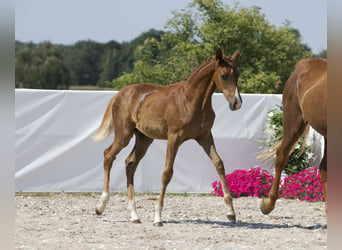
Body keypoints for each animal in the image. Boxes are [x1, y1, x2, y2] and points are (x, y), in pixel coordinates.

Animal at [92, 47, 242, 226]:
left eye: (238, 74)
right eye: (224, 75)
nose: (237, 103)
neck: (191, 100)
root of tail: (119, 95)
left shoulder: (205, 136)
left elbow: (219, 164)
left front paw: (231, 212)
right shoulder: (174, 138)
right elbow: (167, 173)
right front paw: (158, 217)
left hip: (144, 138)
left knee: (130, 163)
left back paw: (134, 215)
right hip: (124, 134)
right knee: (108, 155)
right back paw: (100, 206)